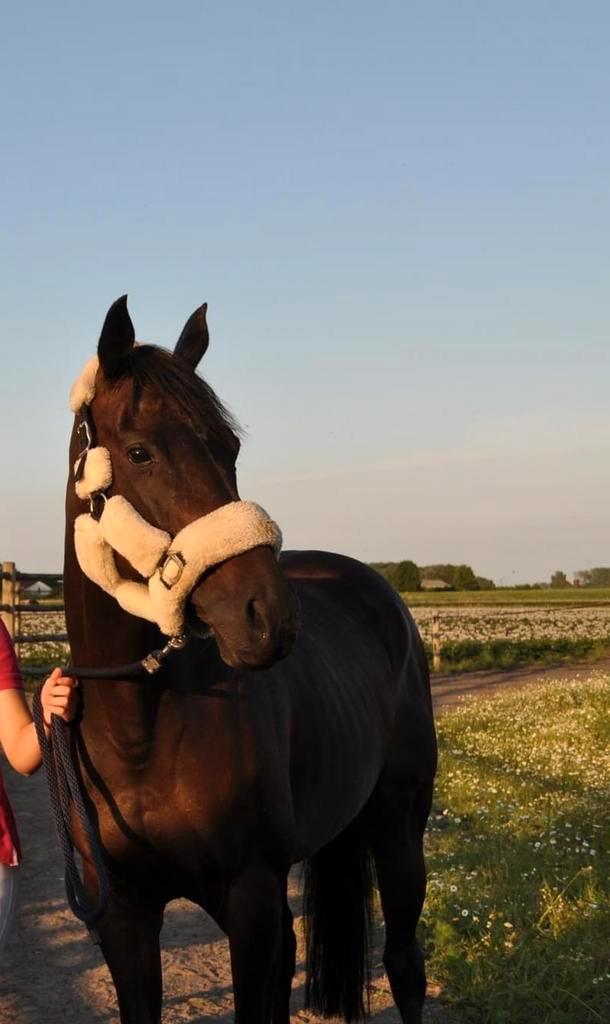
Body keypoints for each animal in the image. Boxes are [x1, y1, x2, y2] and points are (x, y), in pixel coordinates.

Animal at [62, 296, 437, 1024]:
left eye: (229, 449)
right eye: (140, 452)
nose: (267, 615)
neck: (139, 729)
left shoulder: (251, 904)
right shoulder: (123, 918)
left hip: (400, 830)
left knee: (405, 963)